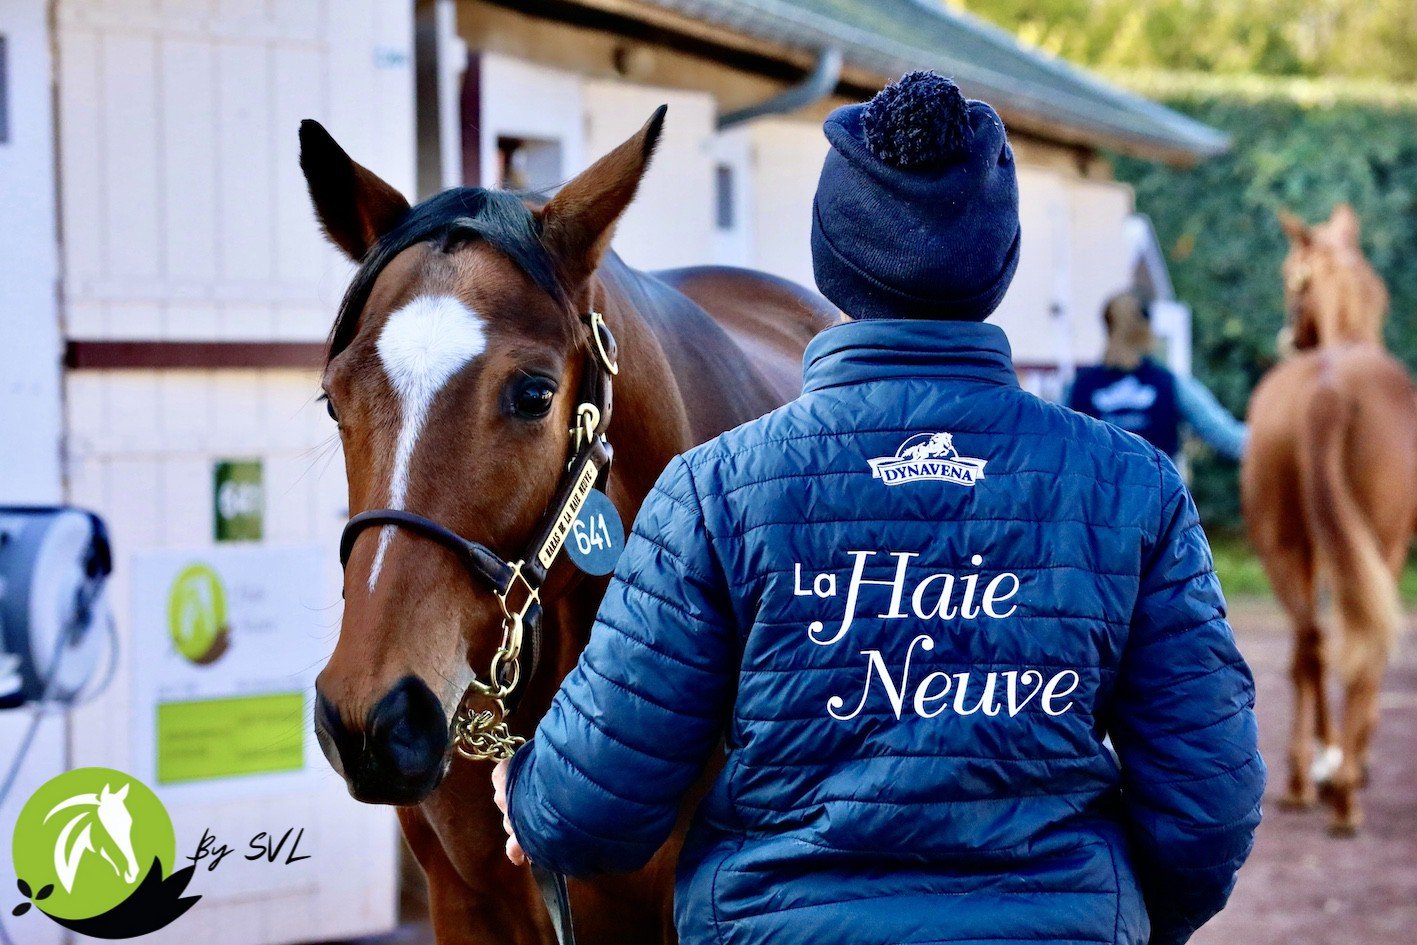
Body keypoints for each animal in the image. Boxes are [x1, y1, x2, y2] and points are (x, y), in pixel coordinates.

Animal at [1241, 203, 1417, 835]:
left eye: (1293, 278)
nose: (1290, 338)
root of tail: (1329, 388)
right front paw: (1346, 761)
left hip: (1288, 546)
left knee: (1311, 643)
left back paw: (1310, 780)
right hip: (1369, 546)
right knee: (1353, 649)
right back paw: (1340, 789)